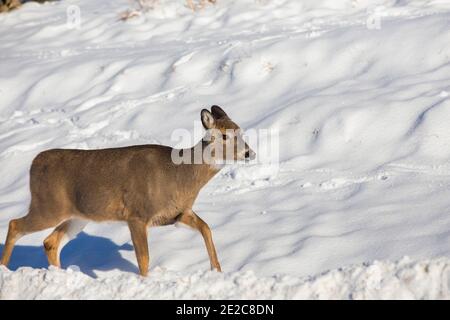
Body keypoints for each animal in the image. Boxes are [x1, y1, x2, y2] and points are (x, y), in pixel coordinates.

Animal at [0, 106, 253, 276]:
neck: (179, 175)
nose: (250, 153)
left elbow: (206, 228)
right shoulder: (137, 214)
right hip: (48, 206)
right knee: (15, 224)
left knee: (50, 242)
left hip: (77, 216)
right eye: (224, 136)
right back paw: (4, 269)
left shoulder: (179, 213)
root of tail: (34, 163)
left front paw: (217, 271)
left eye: (240, 131)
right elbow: (144, 258)